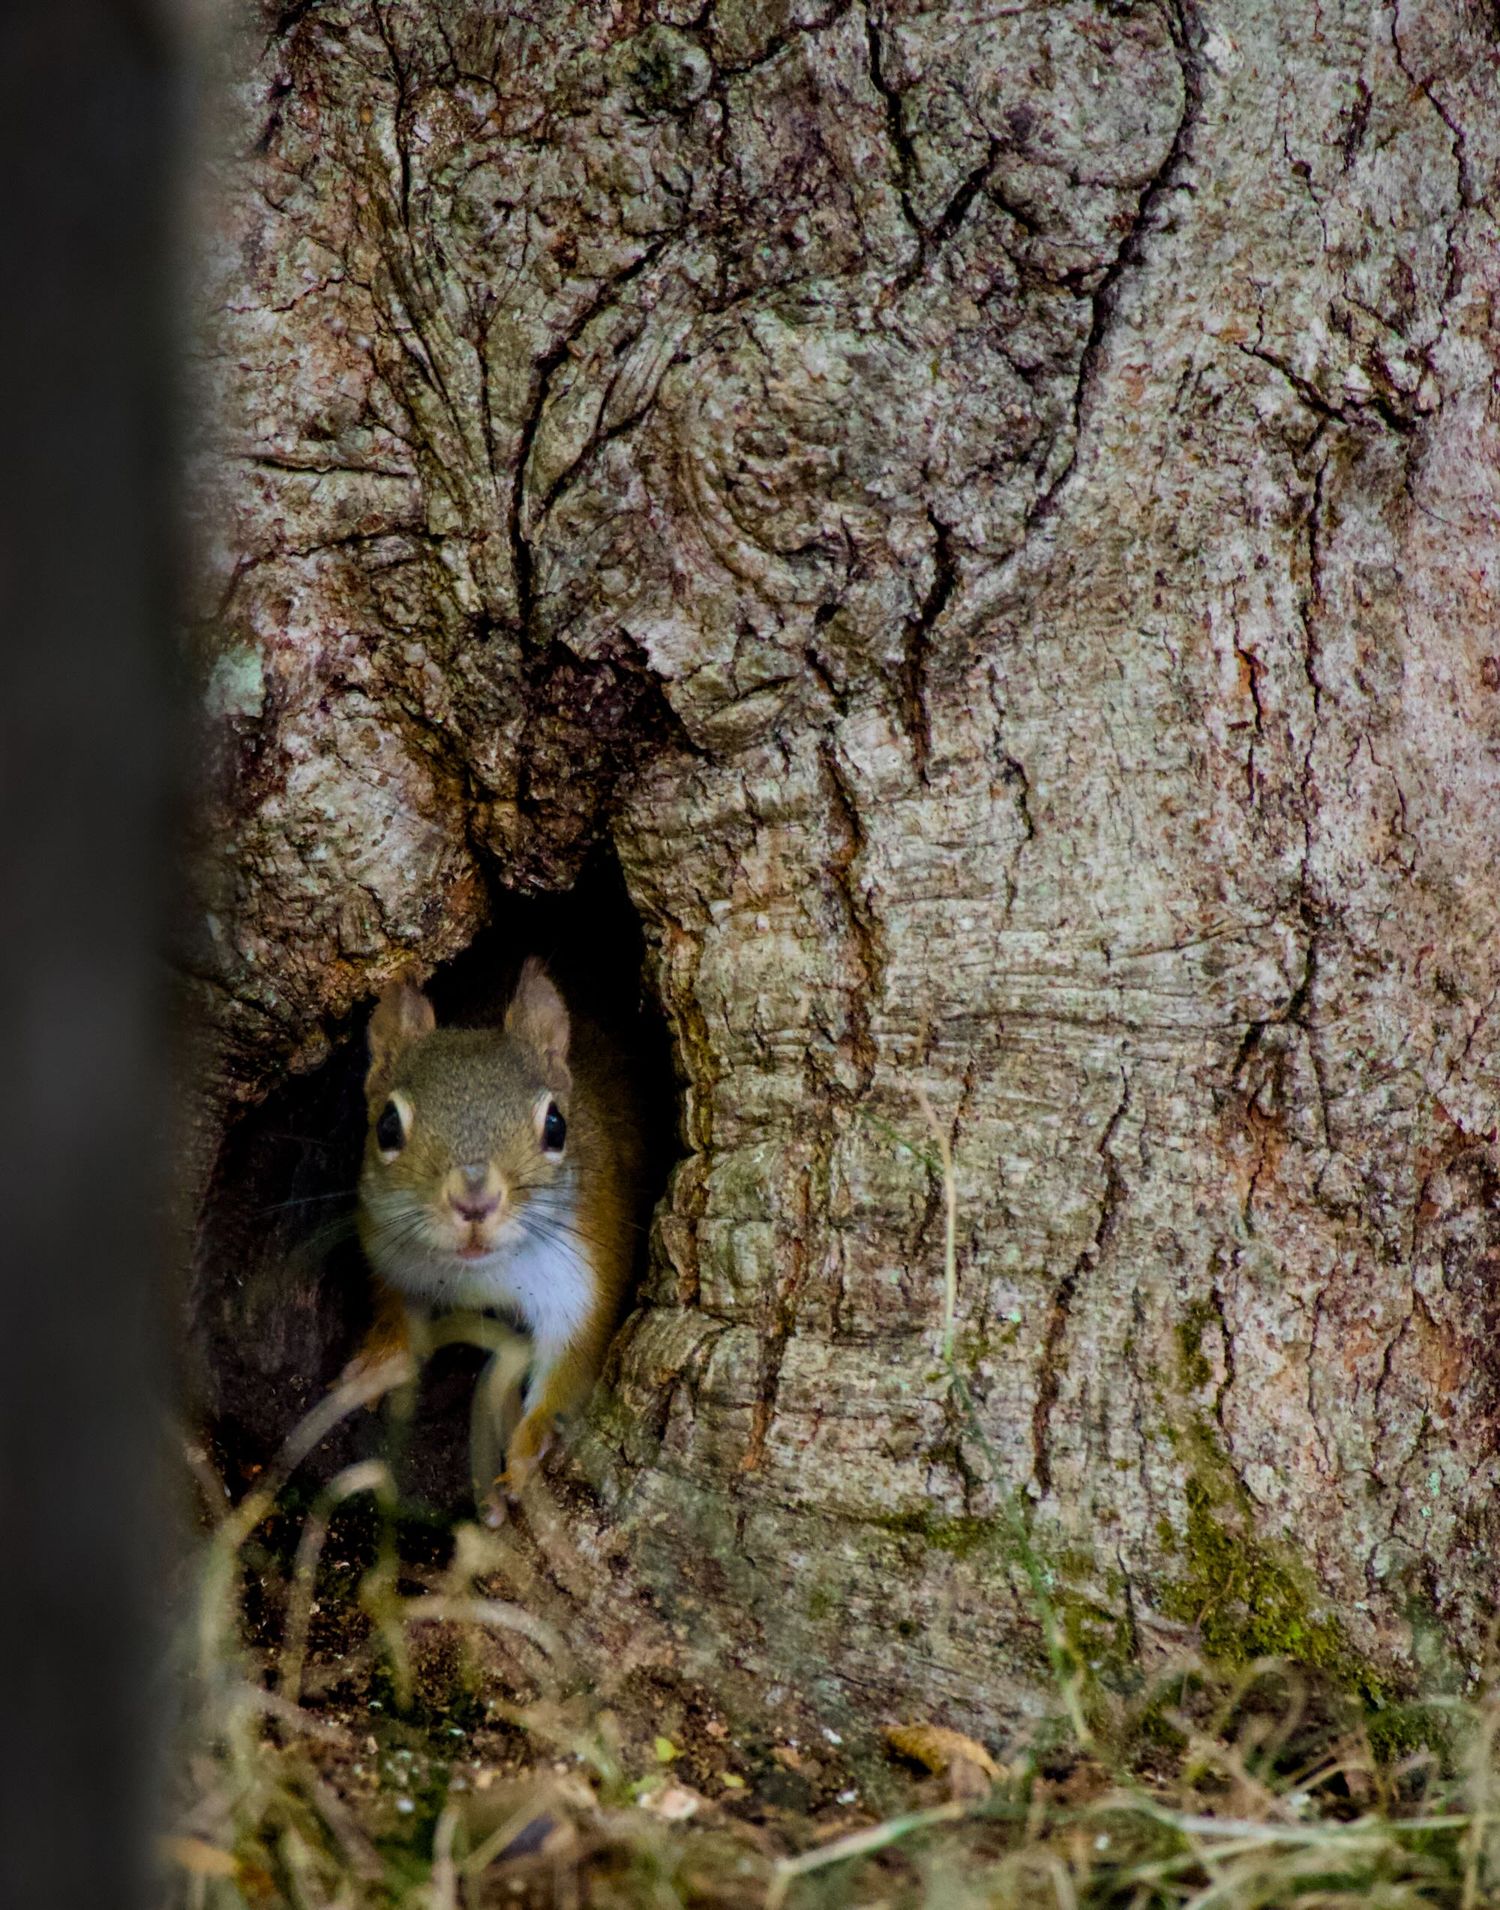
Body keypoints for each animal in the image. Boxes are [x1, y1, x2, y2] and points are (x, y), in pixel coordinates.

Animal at [354, 958, 644, 1505]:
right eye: (386, 1127)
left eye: (556, 1126)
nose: (474, 1201)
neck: (482, 1271)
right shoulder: (391, 1254)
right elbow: (395, 1310)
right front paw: (375, 1366)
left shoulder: (584, 1282)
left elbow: (570, 1367)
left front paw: (527, 1454)